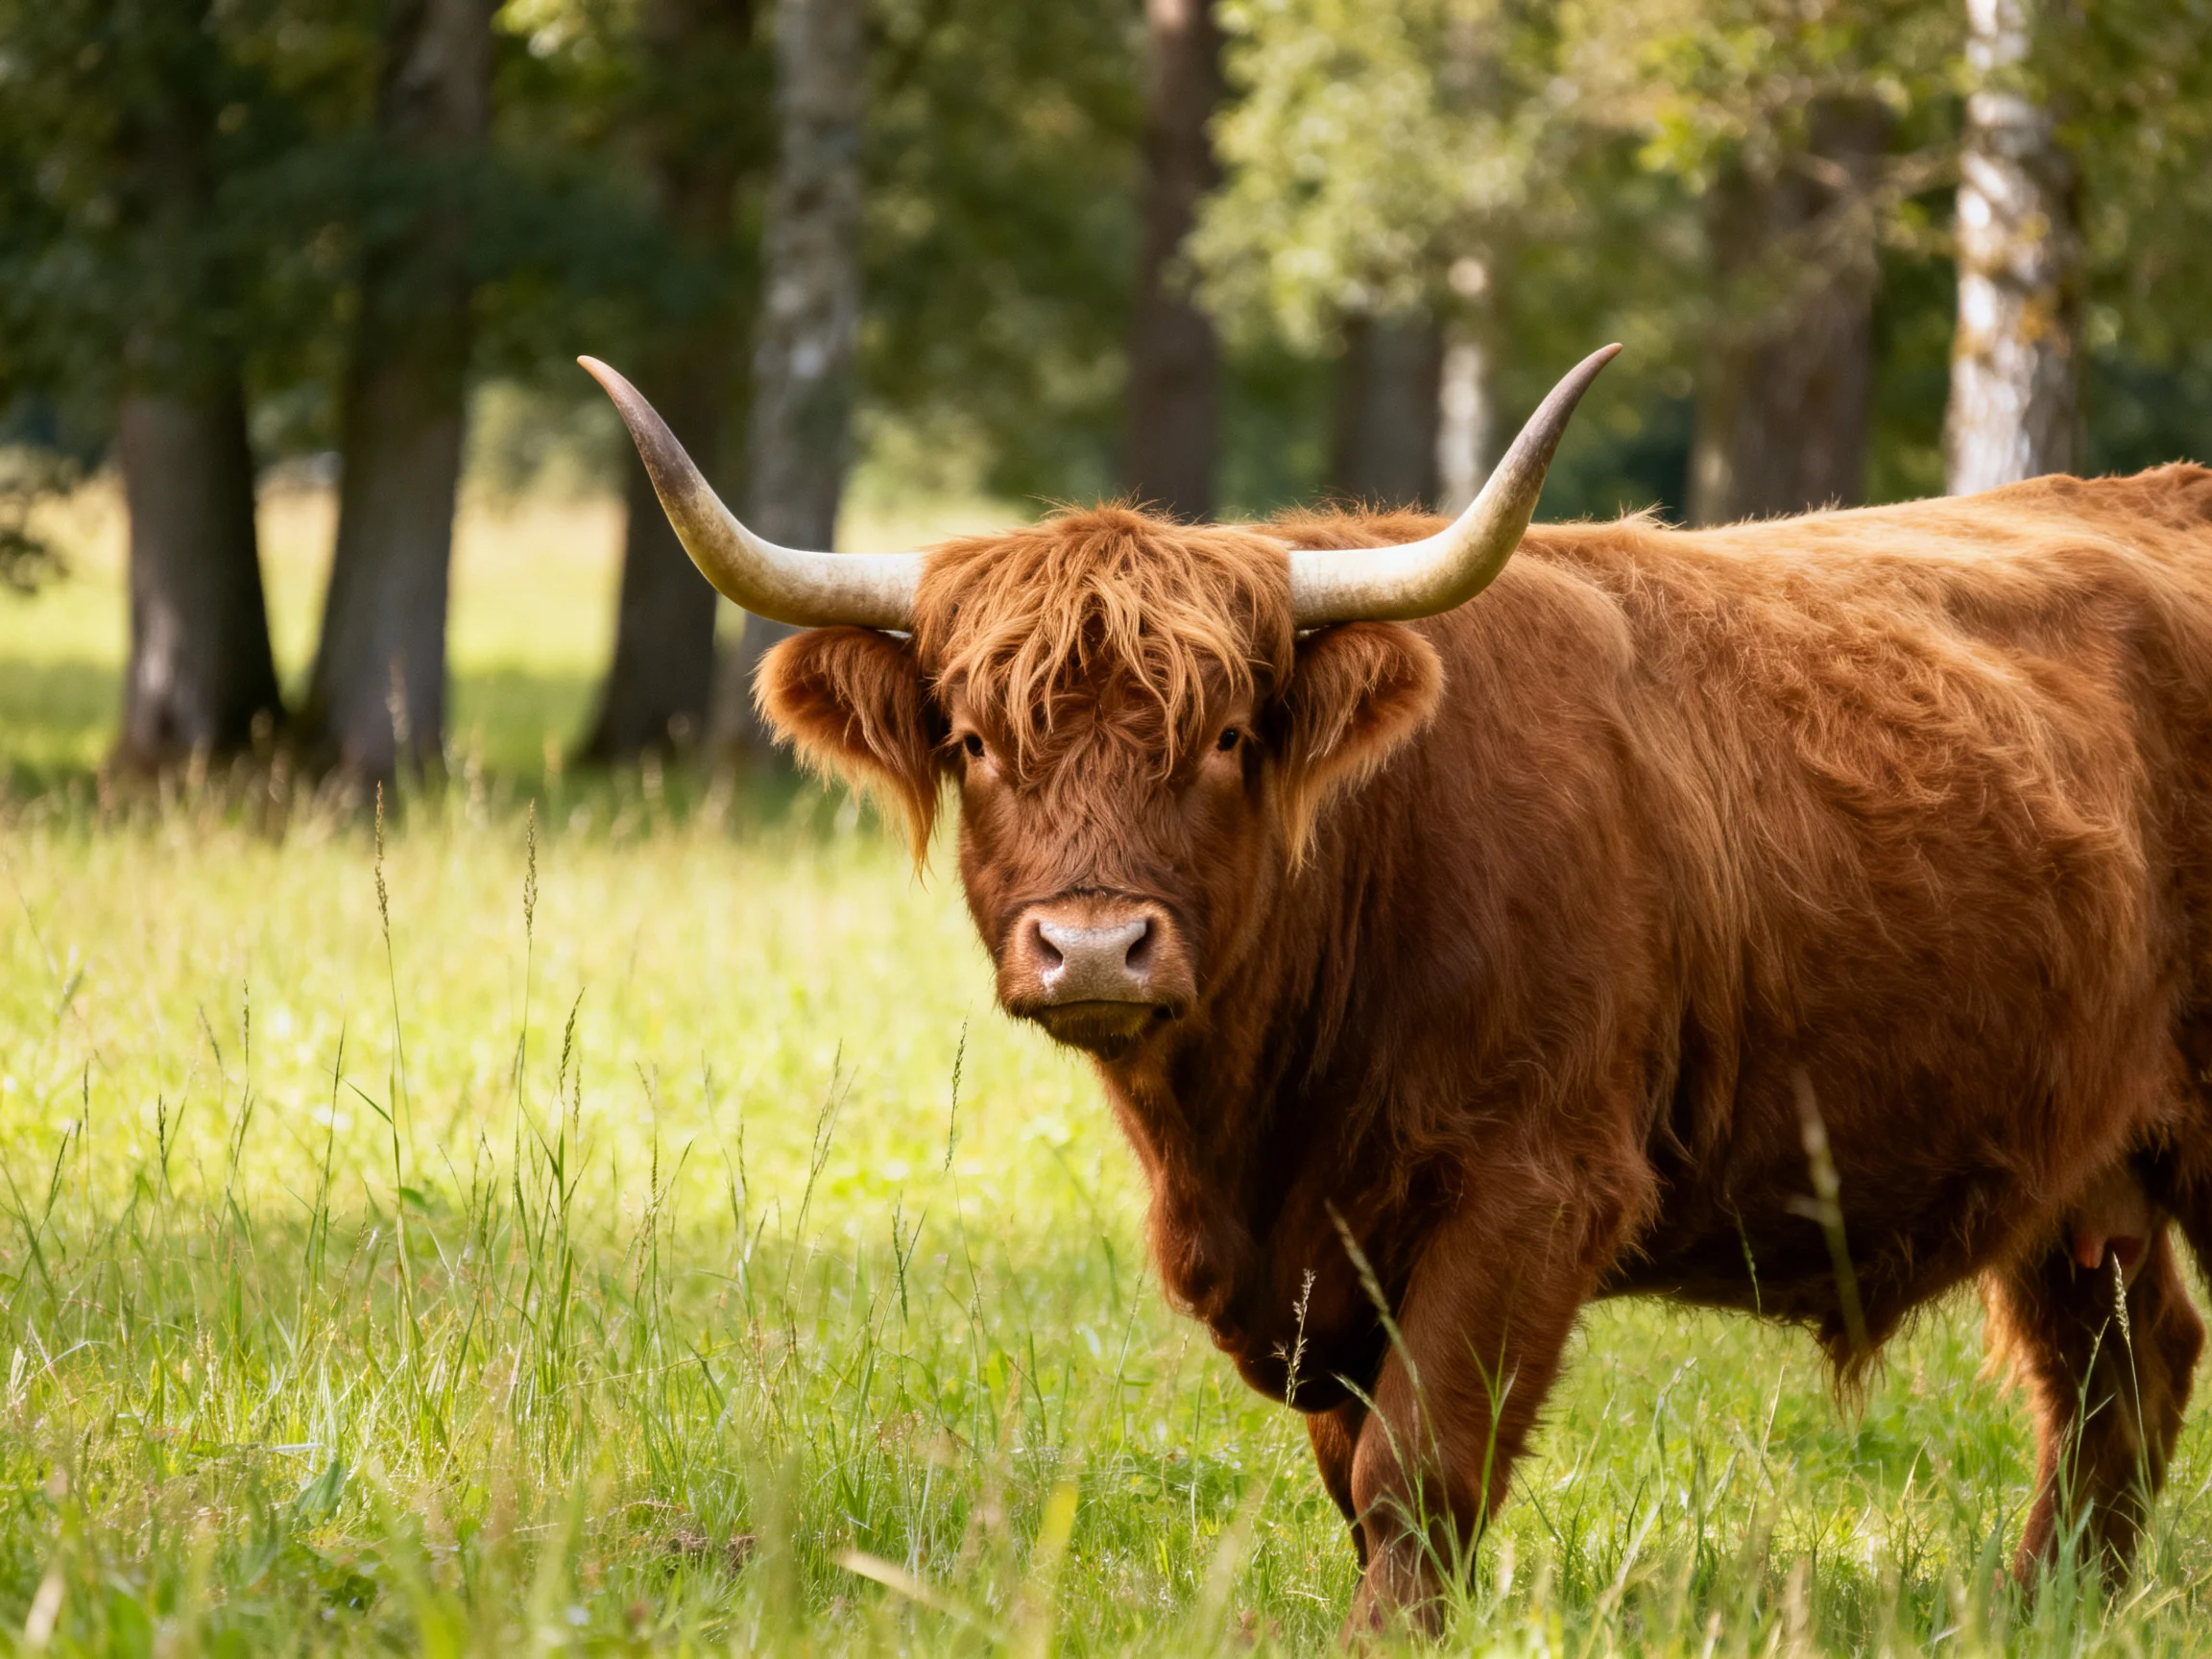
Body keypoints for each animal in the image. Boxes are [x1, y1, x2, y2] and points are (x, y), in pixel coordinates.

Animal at [583, 346, 2212, 1633]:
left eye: (1228, 736)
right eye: (978, 743)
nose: (1097, 949)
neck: (1255, 1127)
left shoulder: (1534, 1183)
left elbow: (1415, 1467)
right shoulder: (1324, 1263)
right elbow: (1350, 1469)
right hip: (2076, 1160)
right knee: (2119, 1361)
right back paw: (2049, 1605)